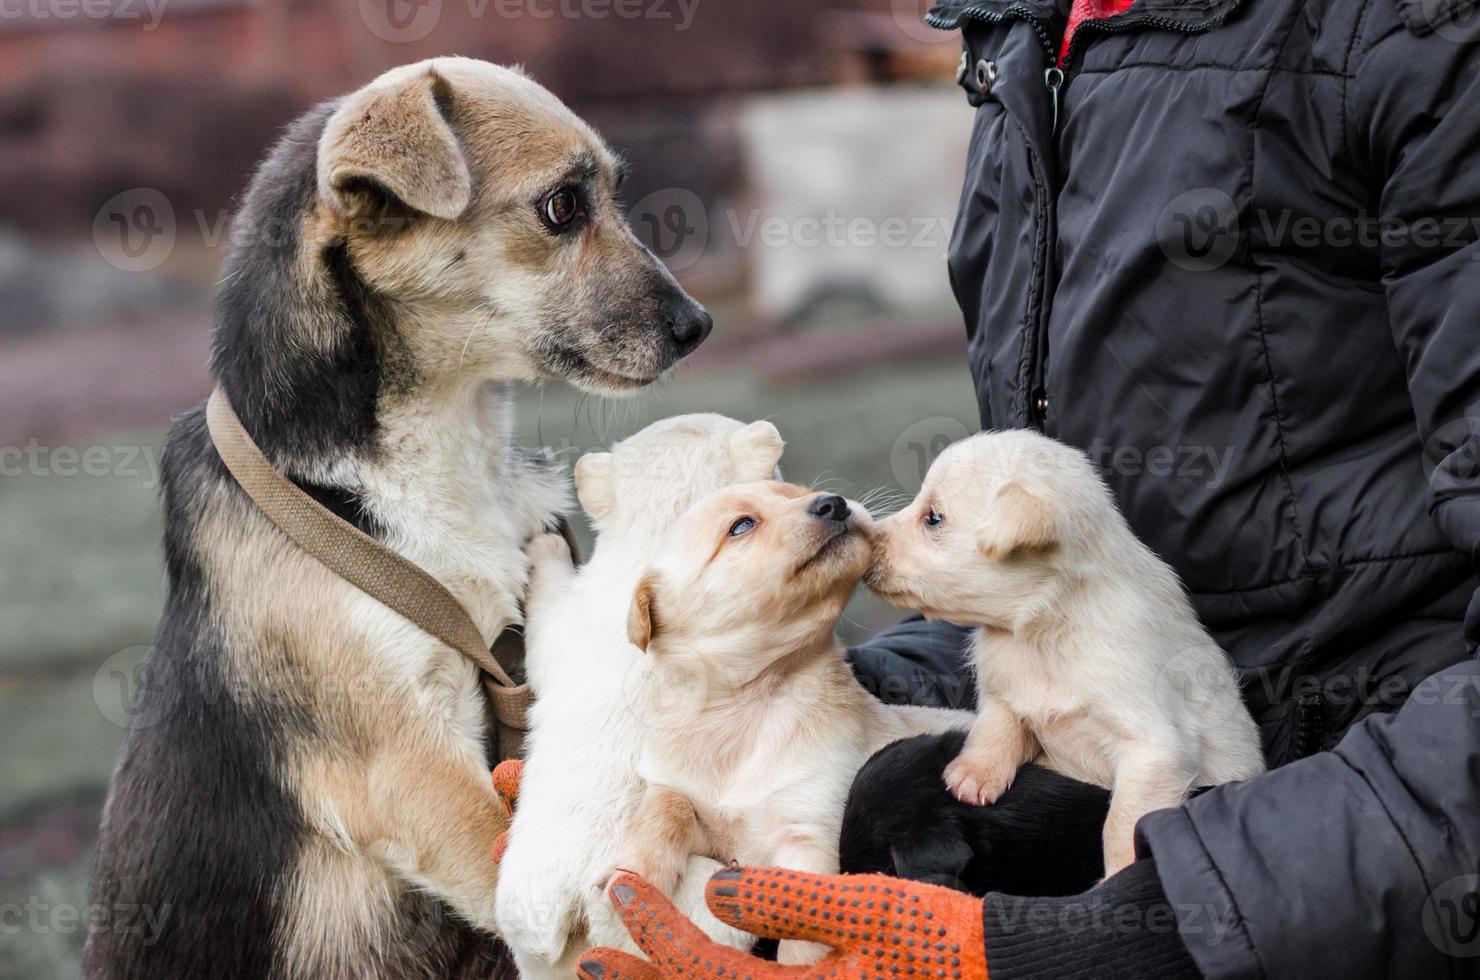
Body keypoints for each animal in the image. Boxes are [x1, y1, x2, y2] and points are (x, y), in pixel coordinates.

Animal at [621, 482, 976, 965]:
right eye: (741, 526)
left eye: (799, 493)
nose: (833, 503)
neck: (749, 705)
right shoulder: (689, 800)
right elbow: (665, 804)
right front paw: (637, 868)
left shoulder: (811, 836)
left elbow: (799, 930)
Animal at [864, 435, 1260, 876]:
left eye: (933, 518)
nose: (866, 537)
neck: (1040, 633)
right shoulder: (1005, 693)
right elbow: (997, 725)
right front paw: (974, 773)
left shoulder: (1154, 748)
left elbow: (1121, 824)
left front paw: (1118, 875)